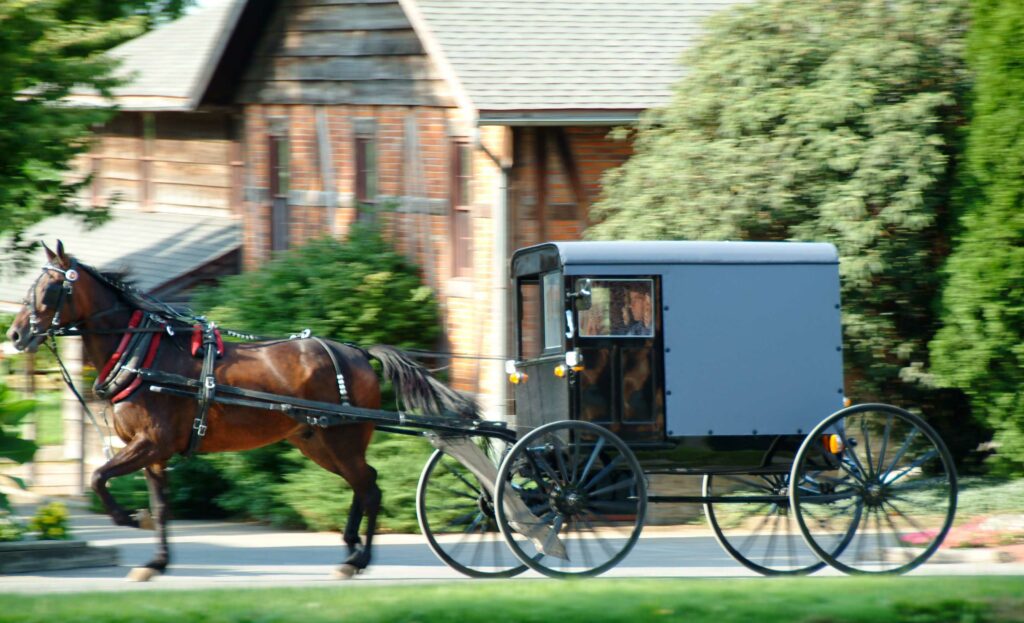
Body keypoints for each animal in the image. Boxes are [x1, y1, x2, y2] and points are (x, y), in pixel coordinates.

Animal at [4, 240, 477, 582]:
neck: (142, 351)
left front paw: (126, 518)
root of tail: (356, 352)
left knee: (371, 488)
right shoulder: (153, 453)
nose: (16, 334)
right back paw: (350, 549)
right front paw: (156, 561)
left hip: (342, 440)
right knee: (365, 485)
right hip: (317, 441)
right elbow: (159, 506)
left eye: (49, 290)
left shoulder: (152, 443)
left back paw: (358, 558)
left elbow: (98, 476)